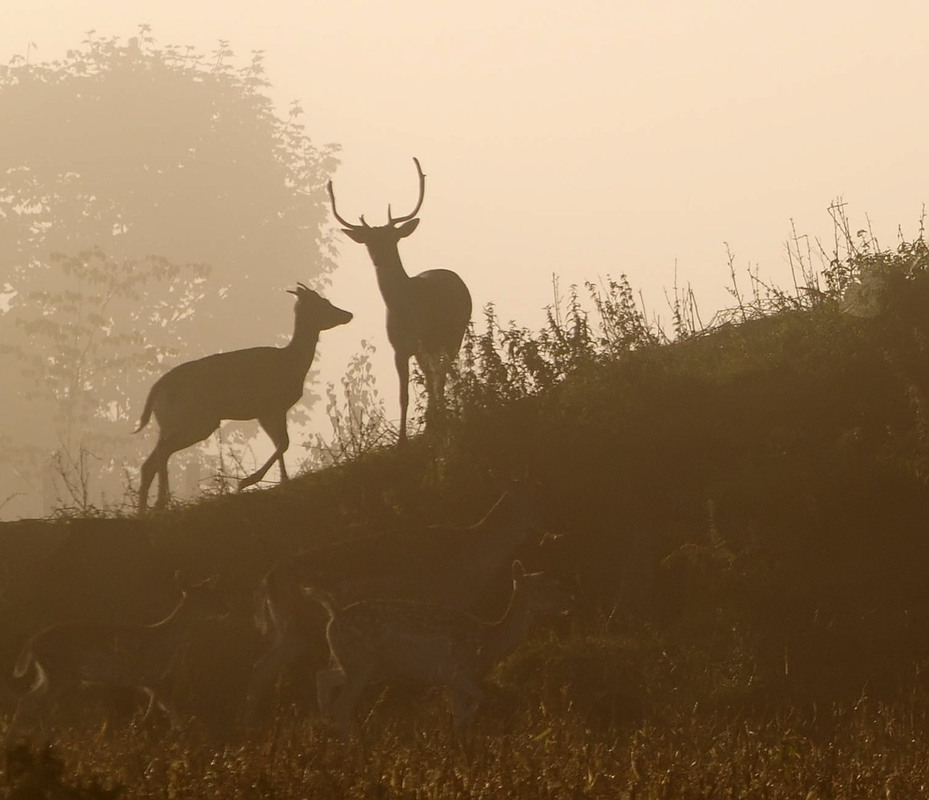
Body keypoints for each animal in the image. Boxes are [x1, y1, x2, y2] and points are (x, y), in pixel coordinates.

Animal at [7, 576, 228, 736]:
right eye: (205, 597)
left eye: (214, 592)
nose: (225, 609)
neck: (165, 641)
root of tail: (32, 641)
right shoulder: (148, 674)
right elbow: (165, 707)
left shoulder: (149, 679)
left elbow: (166, 707)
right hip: (60, 672)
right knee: (40, 703)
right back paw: (46, 738)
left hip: (49, 674)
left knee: (26, 700)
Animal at [136, 288, 354, 512]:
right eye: (323, 303)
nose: (348, 314)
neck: (293, 363)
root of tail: (157, 389)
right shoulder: (270, 408)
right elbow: (283, 443)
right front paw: (247, 481)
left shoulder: (268, 412)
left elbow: (281, 444)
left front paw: (283, 480)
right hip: (196, 420)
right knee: (162, 452)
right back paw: (161, 502)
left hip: (171, 424)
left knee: (149, 462)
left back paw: (144, 509)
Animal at [245, 482, 544, 724]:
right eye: (533, 499)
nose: (548, 523)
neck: (473, 557)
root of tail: (266, 581)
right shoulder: (443, 598)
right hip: (299, 628)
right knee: (263, 668)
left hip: (290, 633)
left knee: (261, 667)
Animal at [316, 560, 568, 736]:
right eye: (540, 587)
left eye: (552, 584)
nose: (566, 601)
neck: (489, 641)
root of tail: (333, 617)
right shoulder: (455, 671)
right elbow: (479, 699)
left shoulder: (456, 681)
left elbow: (462, 713)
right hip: (361, 662)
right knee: (342, 705)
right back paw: (350, 749)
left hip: (360, 663)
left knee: (324, 678)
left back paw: (325, 730)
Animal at [328, 159, 472, 440]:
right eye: (369, 242)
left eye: (392, 239)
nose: (378, 259)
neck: (405, 310)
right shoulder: (398, 348)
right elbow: (403, 395)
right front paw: (403, 438)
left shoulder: (424, 340)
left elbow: (433, 380)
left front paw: (433, 424)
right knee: (438, 376)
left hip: (454, 333)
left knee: (444, 374)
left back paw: (440, 418)